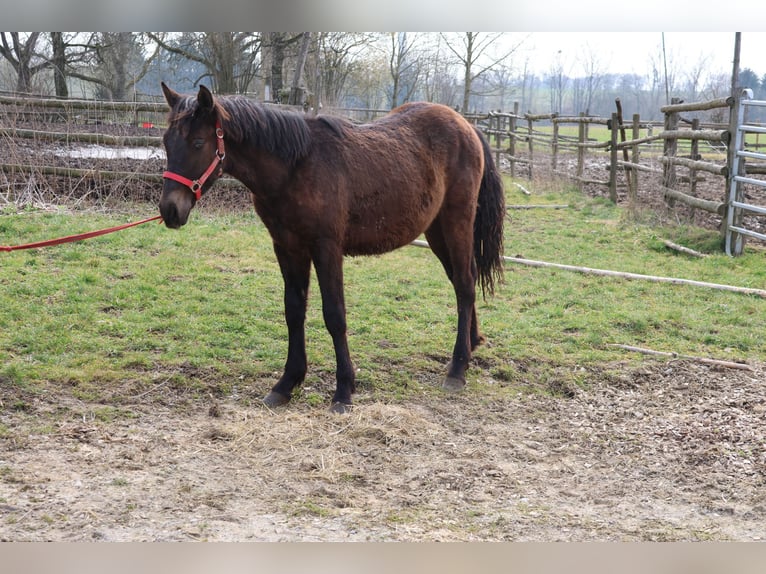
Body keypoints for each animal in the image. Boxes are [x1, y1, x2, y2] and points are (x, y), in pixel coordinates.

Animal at [159, 82, 508, 414]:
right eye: (165, 141)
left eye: (198, 143)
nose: (170, 210)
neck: (295, 167)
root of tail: (467, 126)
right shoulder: (287, 247)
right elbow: (294, 310)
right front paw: (286, 383)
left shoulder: (326, 248)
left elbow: (334, 315)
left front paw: (343, 391)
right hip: (435, 230)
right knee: (462, 281)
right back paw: (470, 345)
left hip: (456, 221)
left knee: (465, 284)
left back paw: (457, 369)